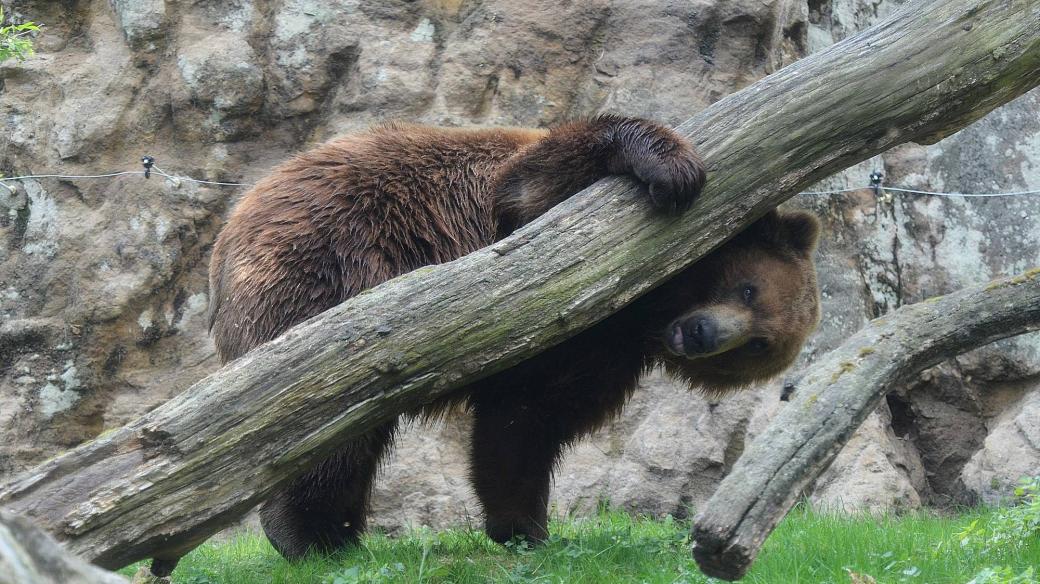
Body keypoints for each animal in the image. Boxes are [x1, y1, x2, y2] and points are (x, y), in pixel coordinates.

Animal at [204, 114, 819, 561]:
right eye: (747, 288)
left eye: (759, 346)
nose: (702, 332)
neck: (641, 304)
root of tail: (229, 232)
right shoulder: (526, 223)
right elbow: (534, 188)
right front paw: (670, 166)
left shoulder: (597, 349)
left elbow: (524, 424)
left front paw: (523, 527)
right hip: (327, 268)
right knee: (324, 425)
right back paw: (312, 534)